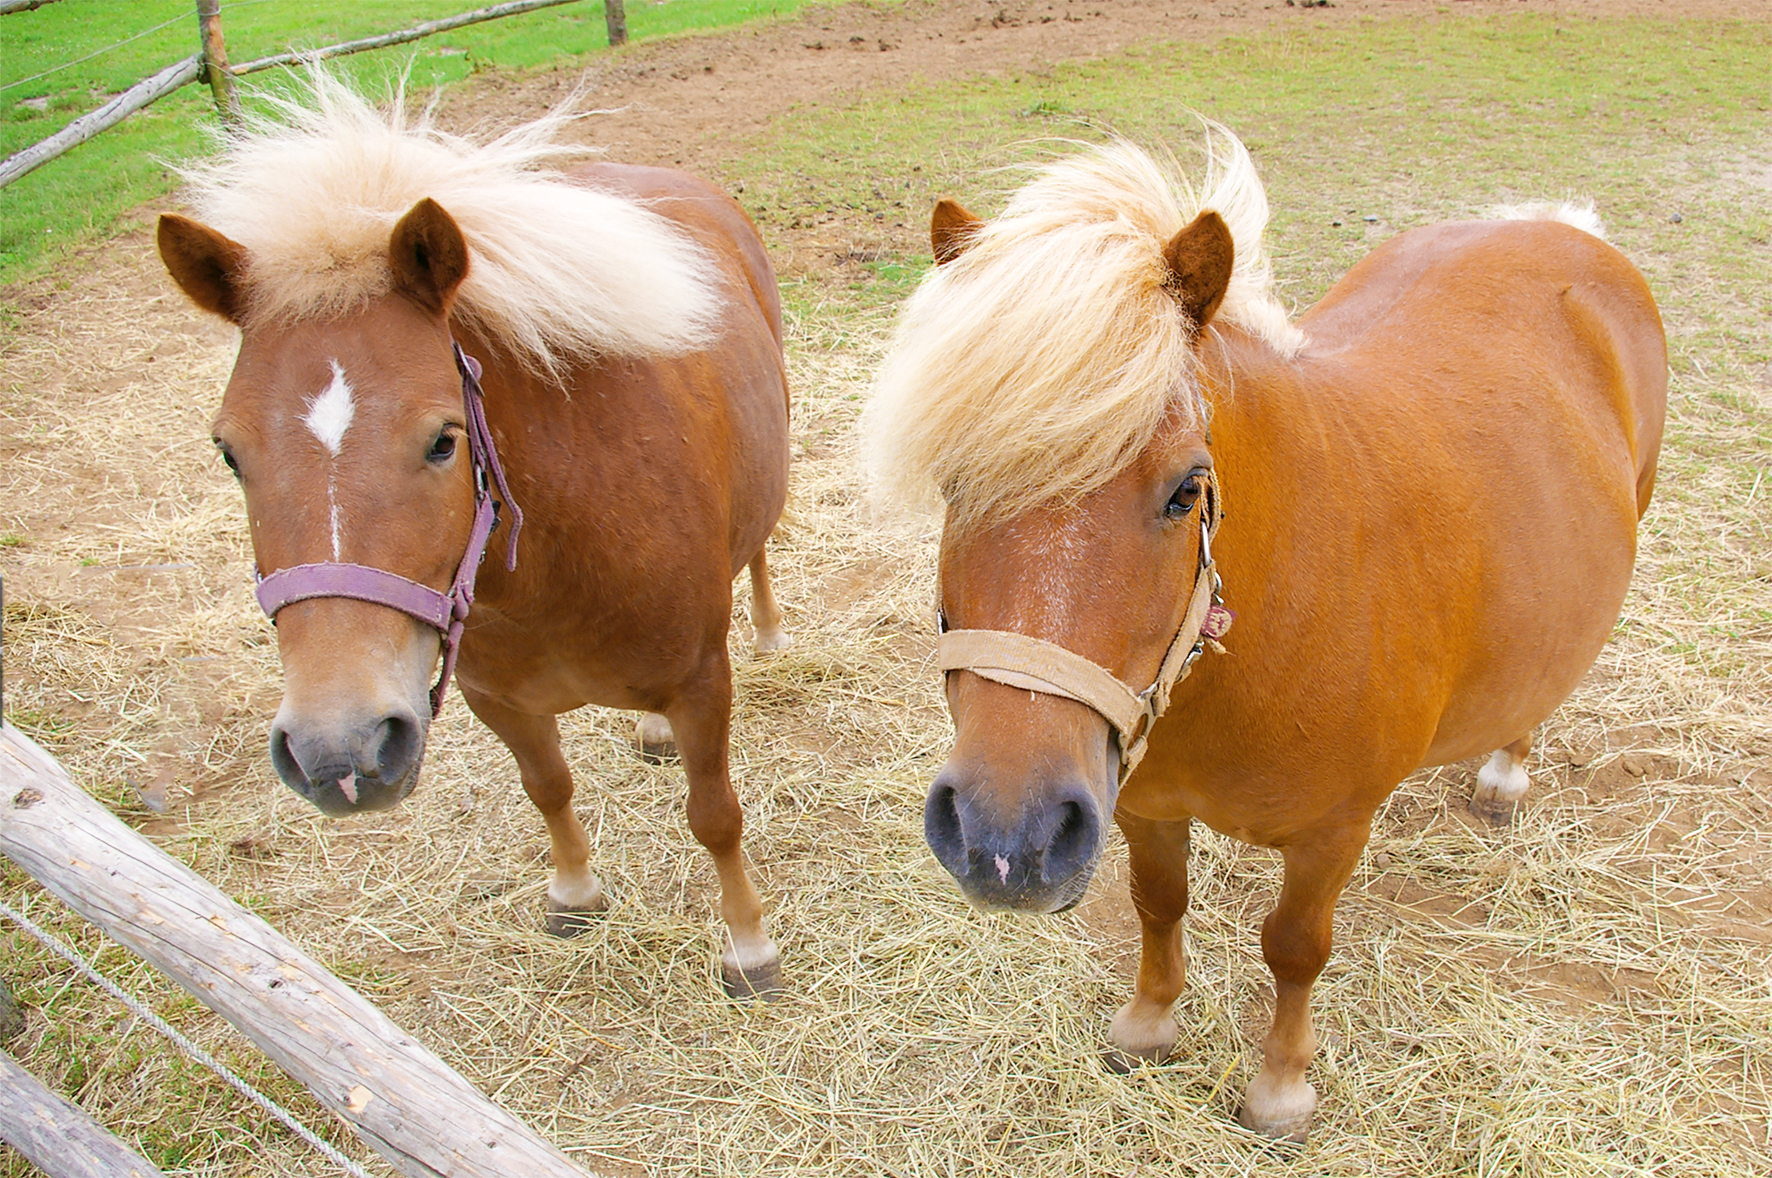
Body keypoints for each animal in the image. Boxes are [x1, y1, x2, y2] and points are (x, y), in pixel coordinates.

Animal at [155, 73, 793, 992]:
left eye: (442, 440)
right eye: (229, 451)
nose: (337, 749)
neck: (553, 563)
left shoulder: (703, 682)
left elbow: (714, 815)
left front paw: (746, 944)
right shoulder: (500, 701)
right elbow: (548, 788)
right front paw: (573, 892)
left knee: (762, 548)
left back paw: (771, 631)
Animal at [864, 131, 1665, 1140]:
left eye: (1185, 490)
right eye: (953, 484)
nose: (1006, 838)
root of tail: (1556, 225)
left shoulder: (1332, 833)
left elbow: (1293, 947)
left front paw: (1282, 1086)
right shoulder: (1139, 802)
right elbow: (1158, 903)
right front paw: (1148, 1024)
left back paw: (1505, 774)